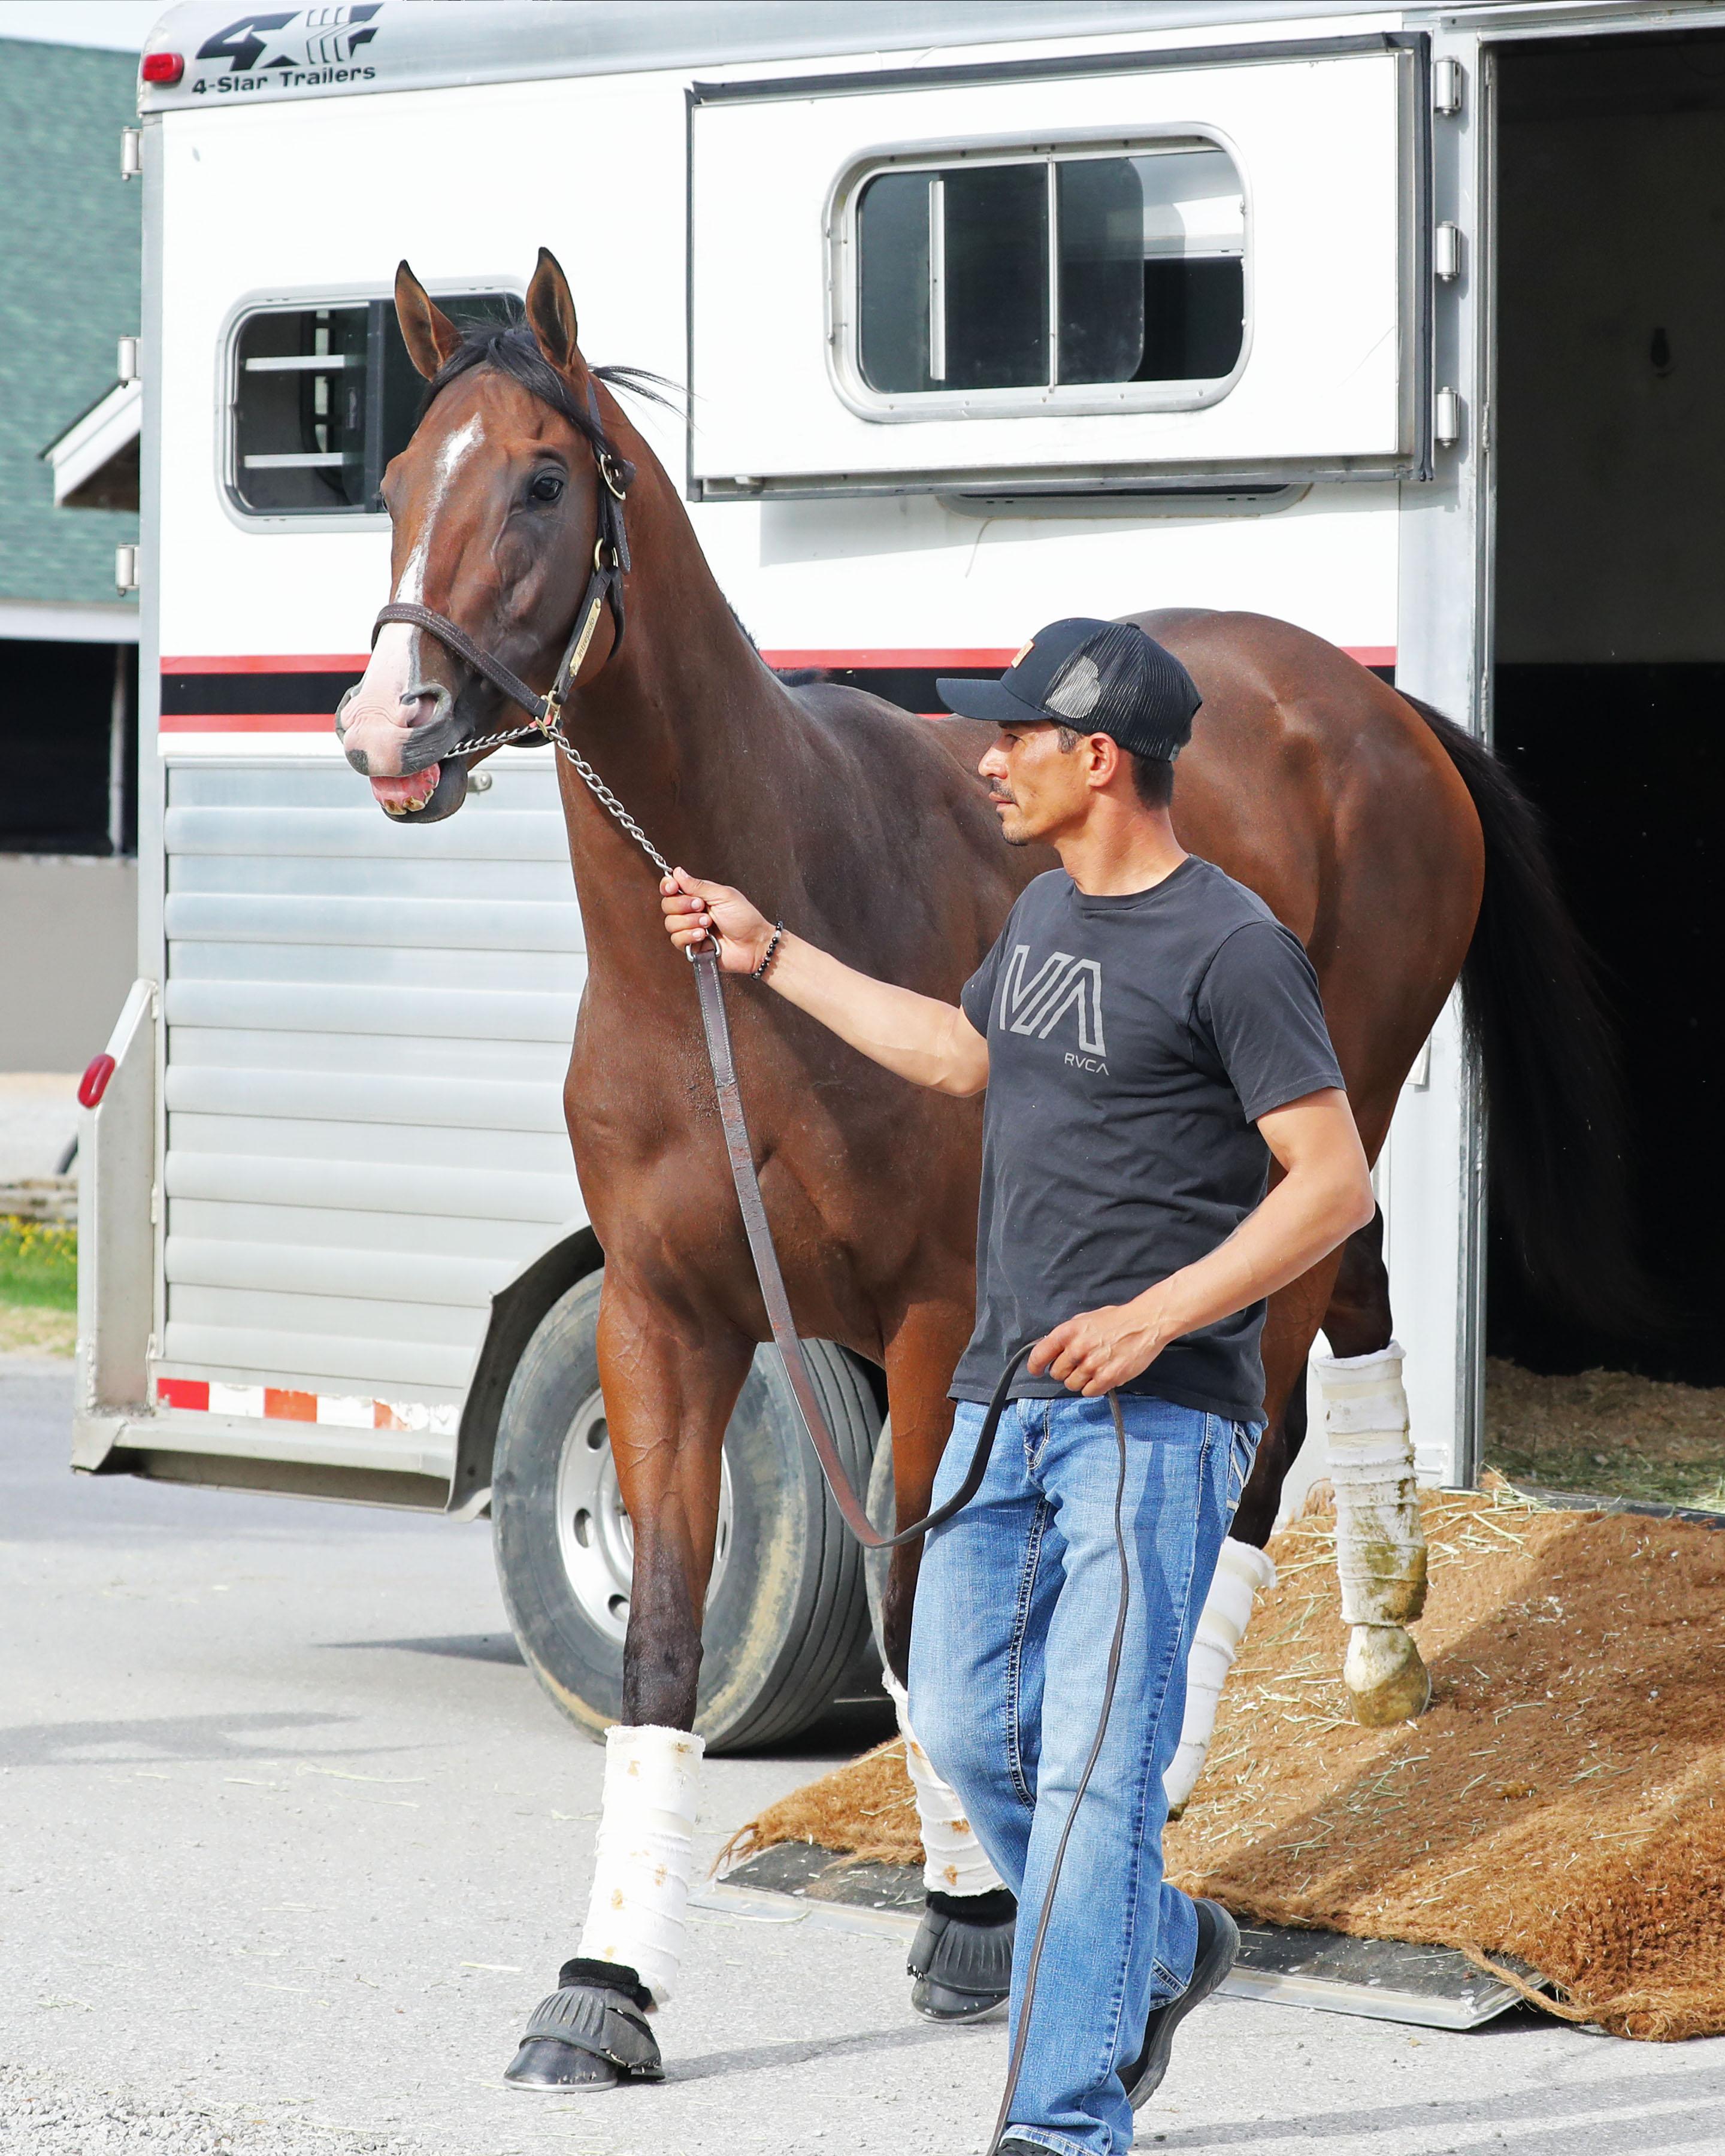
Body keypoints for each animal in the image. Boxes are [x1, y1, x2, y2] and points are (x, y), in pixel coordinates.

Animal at [332, 249, 1637, 2085]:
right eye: (390, 483)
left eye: (535, 482)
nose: (390, 725)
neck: (734, 964)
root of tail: (1370, 701)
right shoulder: (667, 1320)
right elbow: (664, 1640)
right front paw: (605, 1986)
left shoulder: (937, 1320)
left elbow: (914, 1605)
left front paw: (967, 1918)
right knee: (1349, 1317)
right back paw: (1380, 1637)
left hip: (1327, 1119)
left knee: (1263, 1423)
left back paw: (1197, 1746)